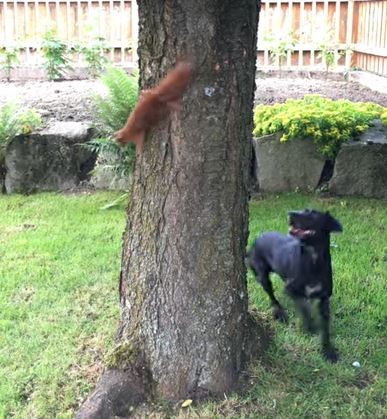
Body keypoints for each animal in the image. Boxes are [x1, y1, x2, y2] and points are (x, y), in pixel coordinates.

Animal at [249, 210, 342, 364]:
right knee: (271, 295)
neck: (313, 260)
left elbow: (325, 328)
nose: (290, 213)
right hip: (262, 275)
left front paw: (328, 351)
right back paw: (279, 313)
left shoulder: (324, 299)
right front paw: (310, 327)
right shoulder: (290, 290)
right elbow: (304, 310)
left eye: (312, 213)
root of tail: (258, 237)